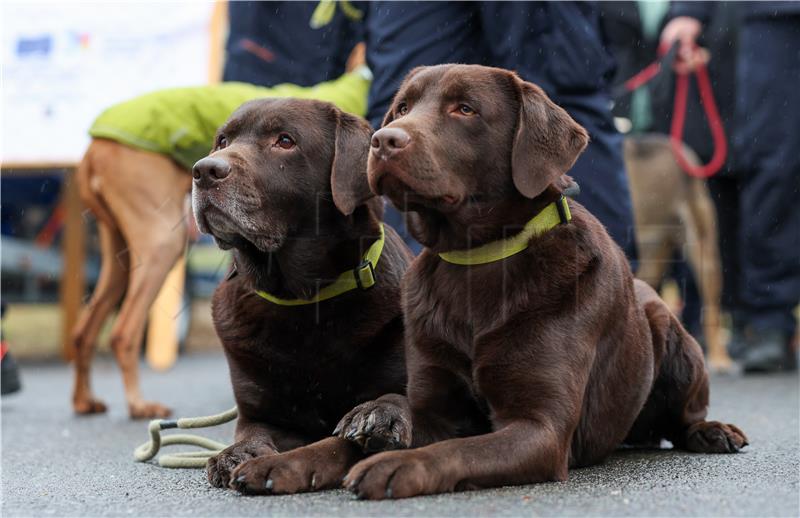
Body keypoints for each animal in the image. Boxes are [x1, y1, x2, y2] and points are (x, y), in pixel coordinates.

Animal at [191, 99, 410, 494]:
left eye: (285, 141)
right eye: (222, 141)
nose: (204, 170)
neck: (302, 301)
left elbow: (334, 441)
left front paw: (377, 415)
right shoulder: (264, 414)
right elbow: (251, 432)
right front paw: (239, 452)